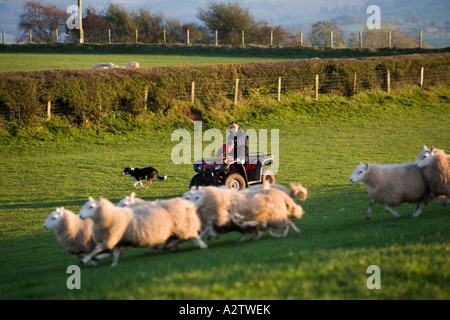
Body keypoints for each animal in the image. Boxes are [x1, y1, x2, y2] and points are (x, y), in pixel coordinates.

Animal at [78, 196, 207, 266]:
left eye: (91, 207)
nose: (80, 215)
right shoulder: (120, 239)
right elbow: (113, 252)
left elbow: (102, 249)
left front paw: (87, 259)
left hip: (181, 226)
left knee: (191, 235)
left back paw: (201, 244)